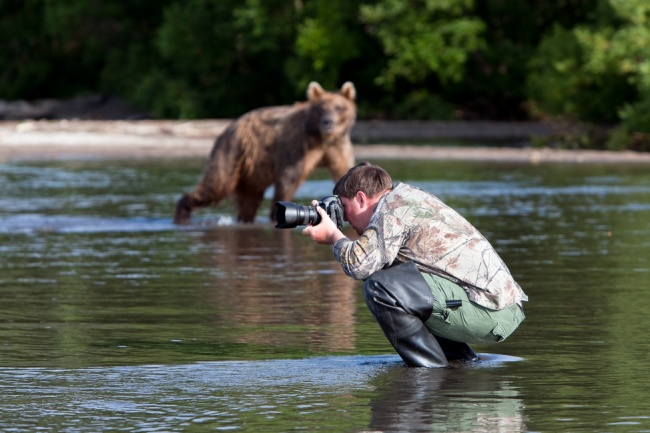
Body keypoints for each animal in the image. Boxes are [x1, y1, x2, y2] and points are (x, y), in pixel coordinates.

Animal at [172, 80, 354, 223]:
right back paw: (182, 212)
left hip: (252, 169)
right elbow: (288, 178)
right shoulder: (297, 146)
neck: (320, 138)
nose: (328, 122)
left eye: (339, 108)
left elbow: (343, 171)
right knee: (216, 185)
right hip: (231, 152)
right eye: (321, 108)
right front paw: (276, 213)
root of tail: (227, 128)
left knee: (249, 198)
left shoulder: (337, 147)